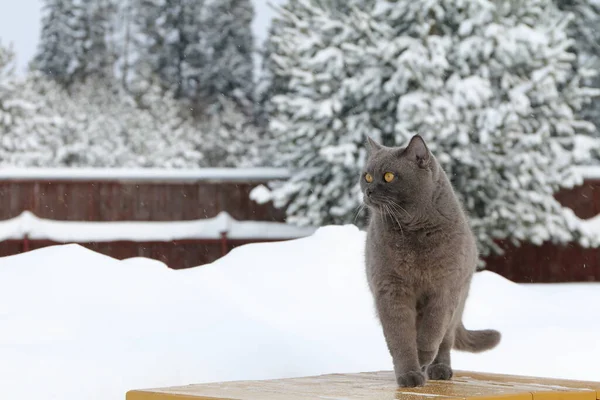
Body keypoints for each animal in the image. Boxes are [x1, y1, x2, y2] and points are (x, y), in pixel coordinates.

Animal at [364, 135, 500, 388]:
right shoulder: (390, 288)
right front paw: (409, 375)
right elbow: (400, 337)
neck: (412, 230)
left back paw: (439, 369)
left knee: (445, 340)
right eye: (366, 176)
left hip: (458, 301)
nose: (367, 190)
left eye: (388, 176)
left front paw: (423, 357)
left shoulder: (445, 288)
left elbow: (432, 330)